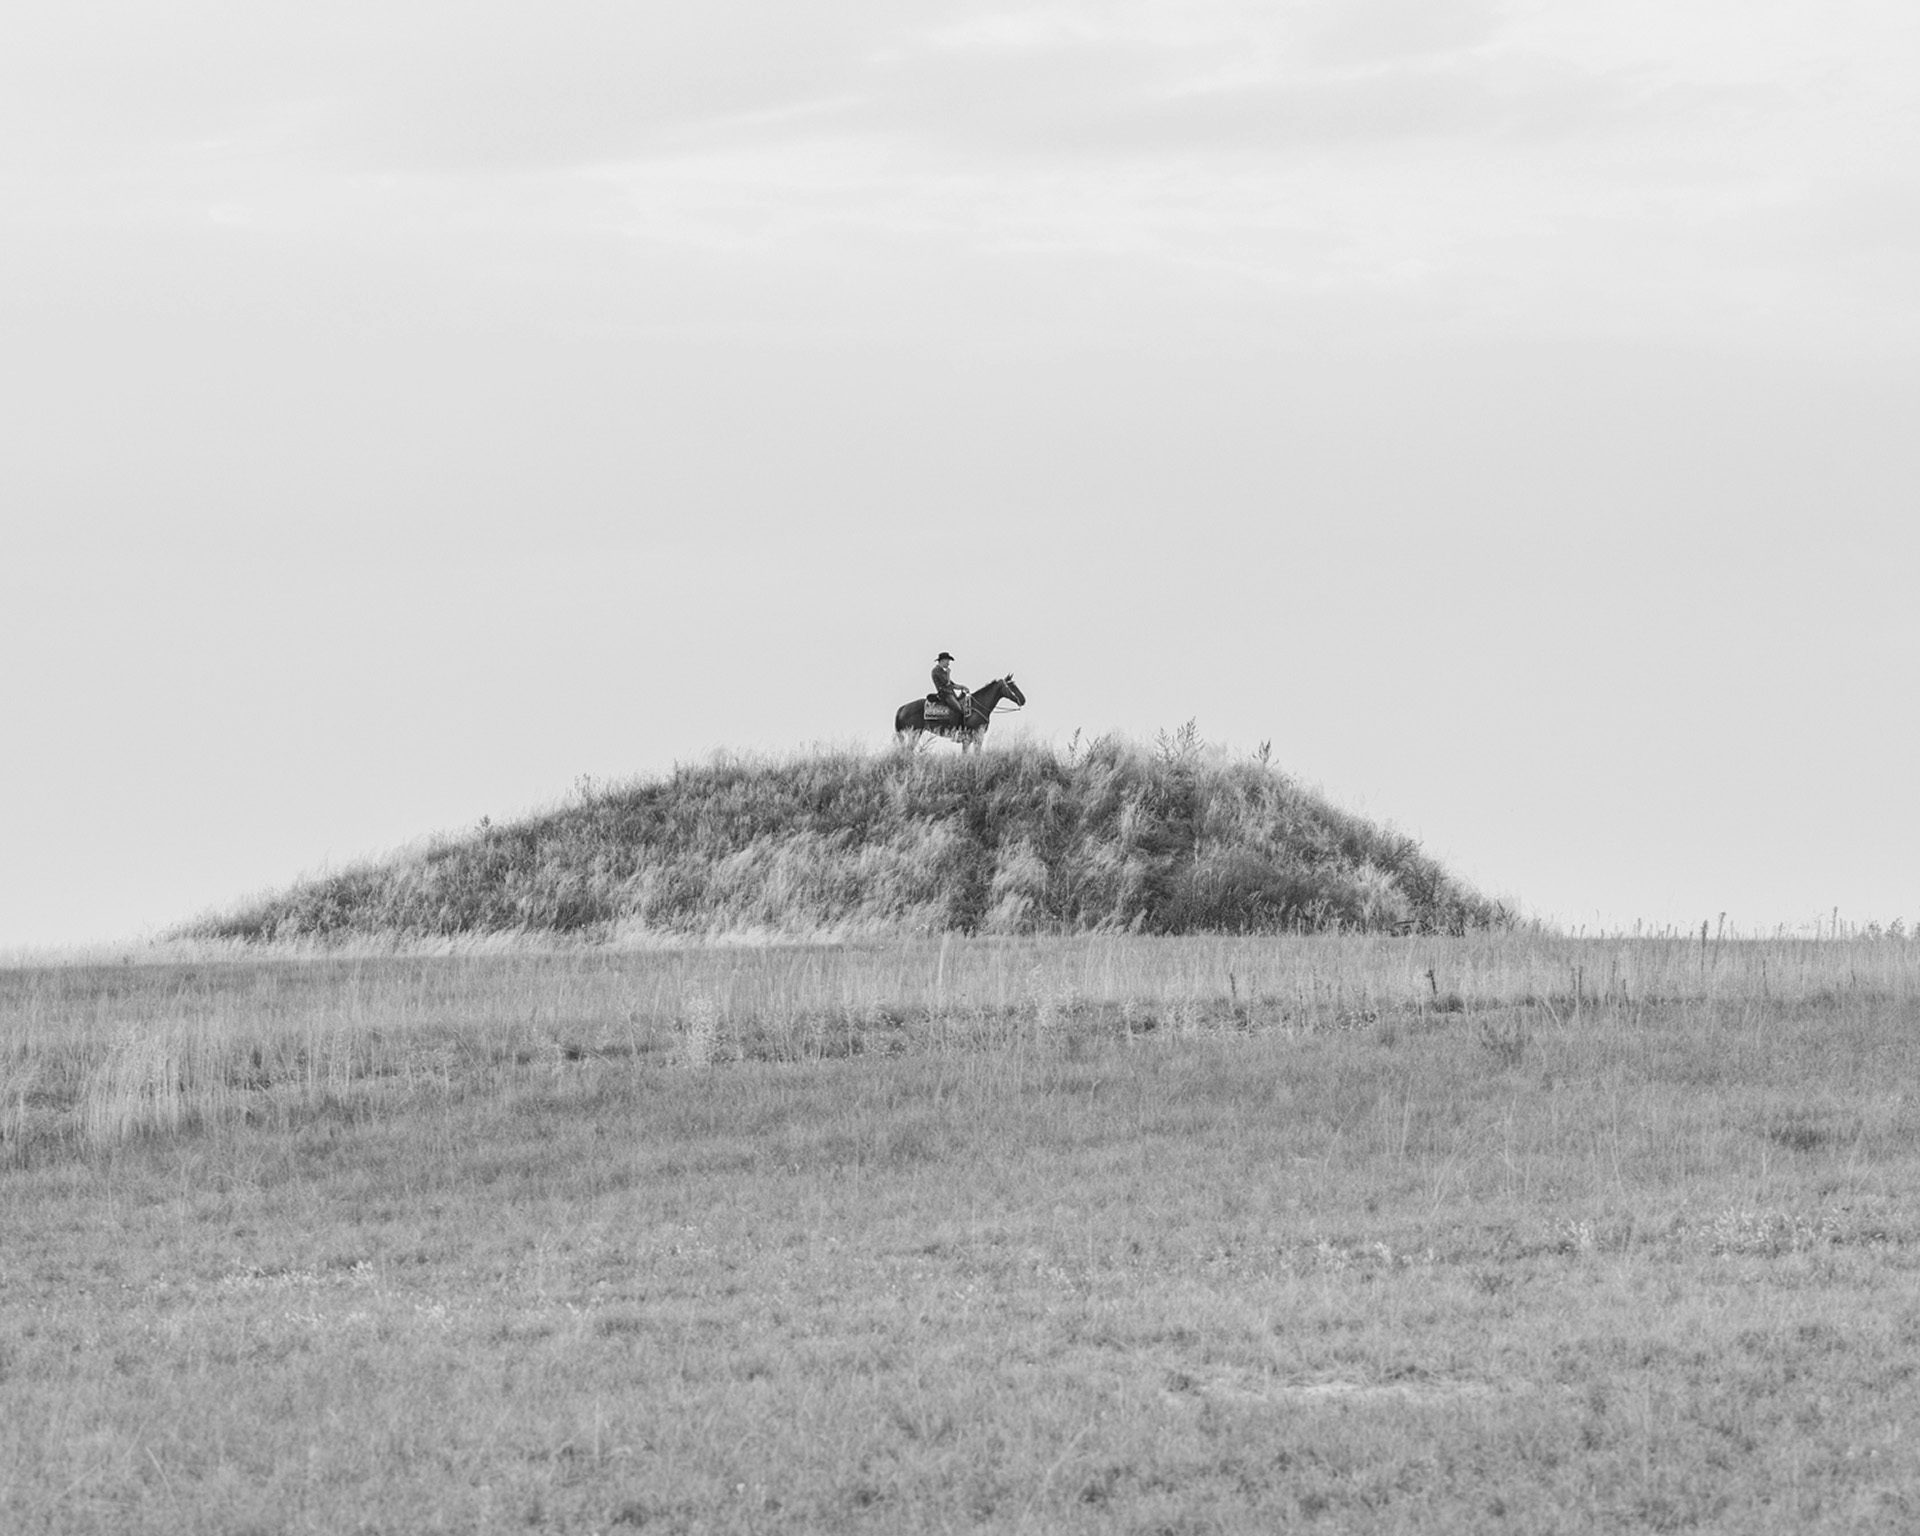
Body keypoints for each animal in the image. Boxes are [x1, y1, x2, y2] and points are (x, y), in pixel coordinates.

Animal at [894, 675, 1026, 752]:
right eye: (1011, 686)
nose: (1023, 700)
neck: (978, 706)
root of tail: (903, 707)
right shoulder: (976, 736)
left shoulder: (971, 739)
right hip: (915, 732)